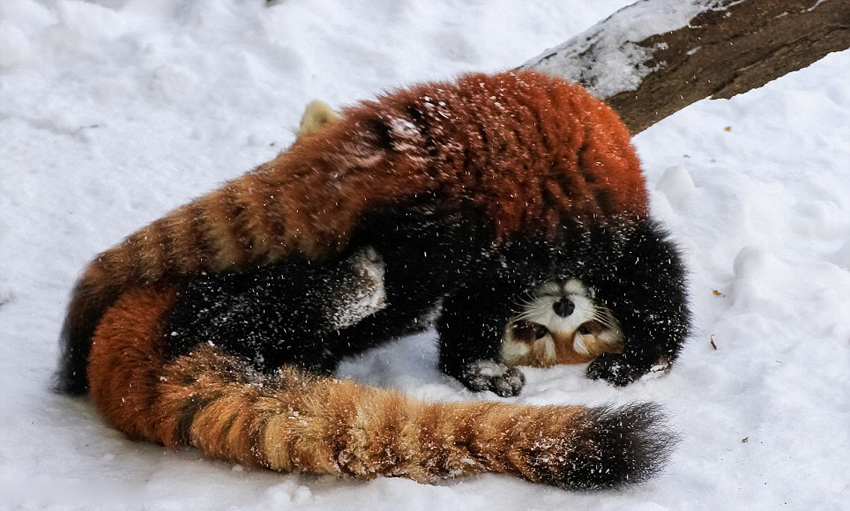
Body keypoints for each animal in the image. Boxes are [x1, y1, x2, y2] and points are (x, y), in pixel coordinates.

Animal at [56, 71, 684, 488]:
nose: (564, 309)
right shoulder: (603, 240)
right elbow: (657, 287)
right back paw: (348, 288)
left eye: (573, 333)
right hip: (451, 225)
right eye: (537, 334)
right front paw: (634, 359)